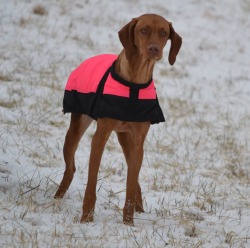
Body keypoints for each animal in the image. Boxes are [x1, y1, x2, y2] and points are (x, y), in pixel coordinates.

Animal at [54, 14, 182, 227]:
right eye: (144, 30)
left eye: (164, 33)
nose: (154, 49)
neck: (134, 84)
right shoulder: (99, 138)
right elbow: (91, 184)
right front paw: (86, 219)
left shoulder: (138, 142)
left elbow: (131, 184)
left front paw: (128, 224)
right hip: (74, 131)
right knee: (70, 167)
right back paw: (57, 197)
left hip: (125, 139)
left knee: (134, 174)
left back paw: (139, 209)